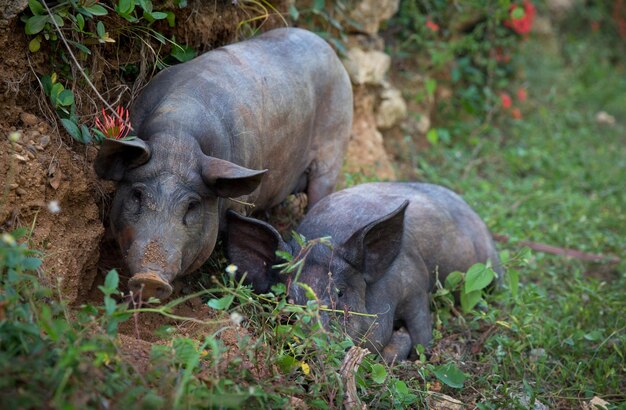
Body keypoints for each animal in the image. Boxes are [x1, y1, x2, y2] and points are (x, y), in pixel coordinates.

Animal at [95, 27, 354, 300]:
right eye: (137, 194)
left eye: (192, 205)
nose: (150, 278)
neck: (178, 135)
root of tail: (328, 48)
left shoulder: (242, 203)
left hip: (334, 148)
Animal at [227, 183, 500, 362]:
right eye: (288, 298)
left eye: (340, 293)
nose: (314, 343)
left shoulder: (415, 285)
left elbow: (421, 332)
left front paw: (416, 350)